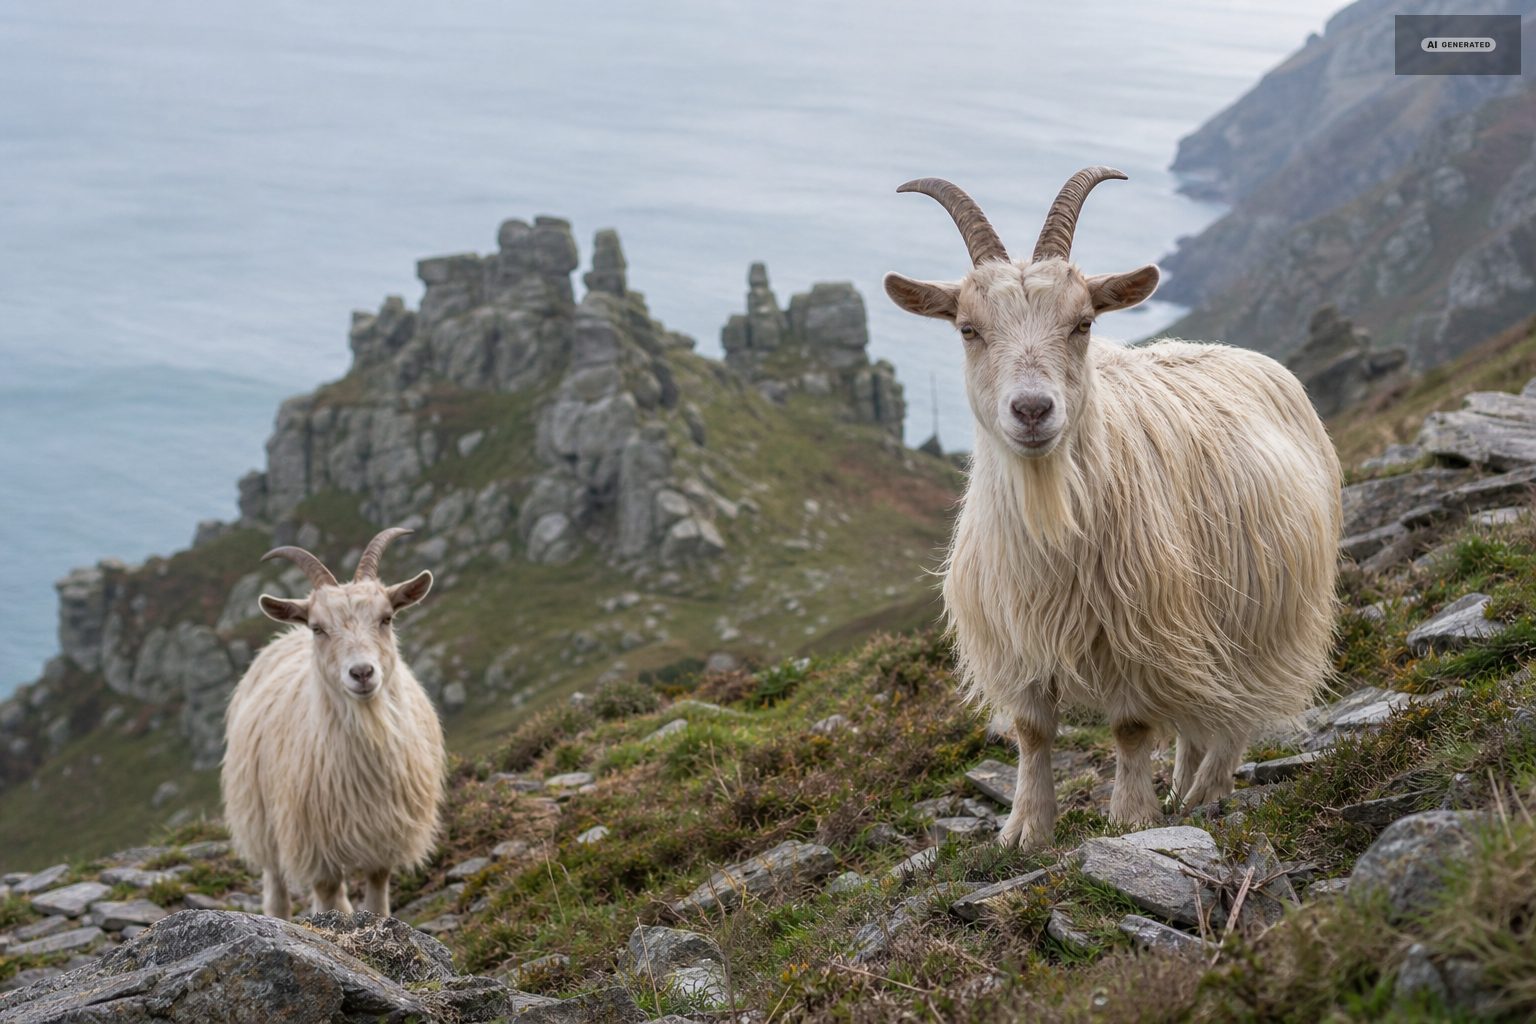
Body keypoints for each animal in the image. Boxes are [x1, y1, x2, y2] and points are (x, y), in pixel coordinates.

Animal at [221, 527, 446, 917]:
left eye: (387, 618)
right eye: (318, 627)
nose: (362, 672)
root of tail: (286, 635)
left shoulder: (384, 838)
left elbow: (377, 894)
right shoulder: (313, 847)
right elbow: (327, 894)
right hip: (262, 819)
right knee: (276, 886)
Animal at [885, 169, 1340, 847]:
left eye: (1083, 323)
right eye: (968, 328)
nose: (1032, 410)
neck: (1050, 511)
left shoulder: (1142, 627)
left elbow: (1130, 727)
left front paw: (1130, 817)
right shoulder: (1017, 637)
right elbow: (1033, 732)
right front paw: (1025, 828)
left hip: (1261, 612)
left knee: (1234, 708)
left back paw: (1206, 792)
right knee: (1200, 709)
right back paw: (1182, 789)